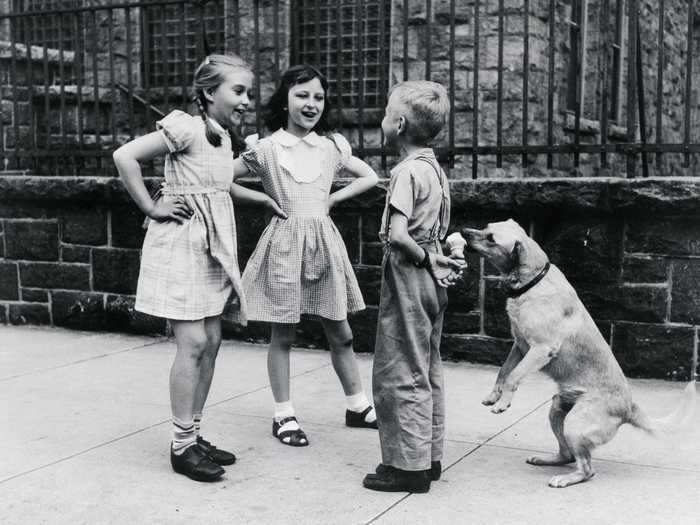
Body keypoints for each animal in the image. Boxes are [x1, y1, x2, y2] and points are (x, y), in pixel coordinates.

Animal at [460, 218, 696, 488]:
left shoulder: (540, 349)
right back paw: (548, 460)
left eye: (491, 239)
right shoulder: (519, 346)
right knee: (567, 455)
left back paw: (565, 479)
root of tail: (629, 408)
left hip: (575, 424)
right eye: (486, 226)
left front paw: (503, 403)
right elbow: (503, 372)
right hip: (557, 410)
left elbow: (513, 376)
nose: (463, 231)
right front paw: (493, 396)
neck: (533, 282)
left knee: (586, 469)